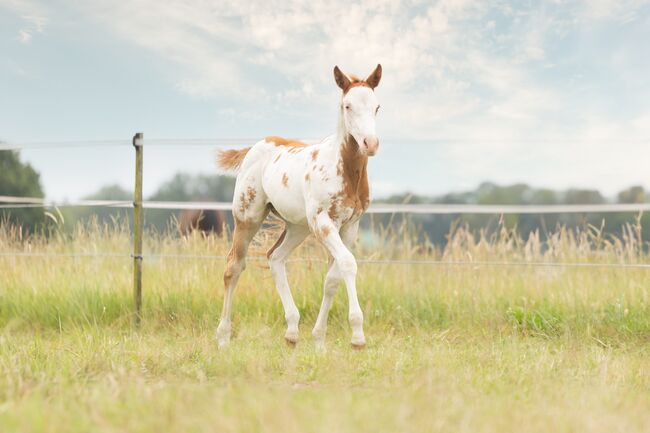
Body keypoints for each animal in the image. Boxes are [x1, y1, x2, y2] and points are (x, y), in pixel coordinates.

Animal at [215, 62, 382, 350]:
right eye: (347, 105)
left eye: (376, 107)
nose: (369, 144)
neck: (345, 170)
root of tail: (255, 147)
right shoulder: (323, 222)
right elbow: (348, 264)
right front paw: (357, 335)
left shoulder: (350, 226)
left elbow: (332, 278)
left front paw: (319, 340)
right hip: (248, 218)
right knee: (233, 267)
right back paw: (224, 337)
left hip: (297, 227)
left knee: (275, 257)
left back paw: (292, 331)